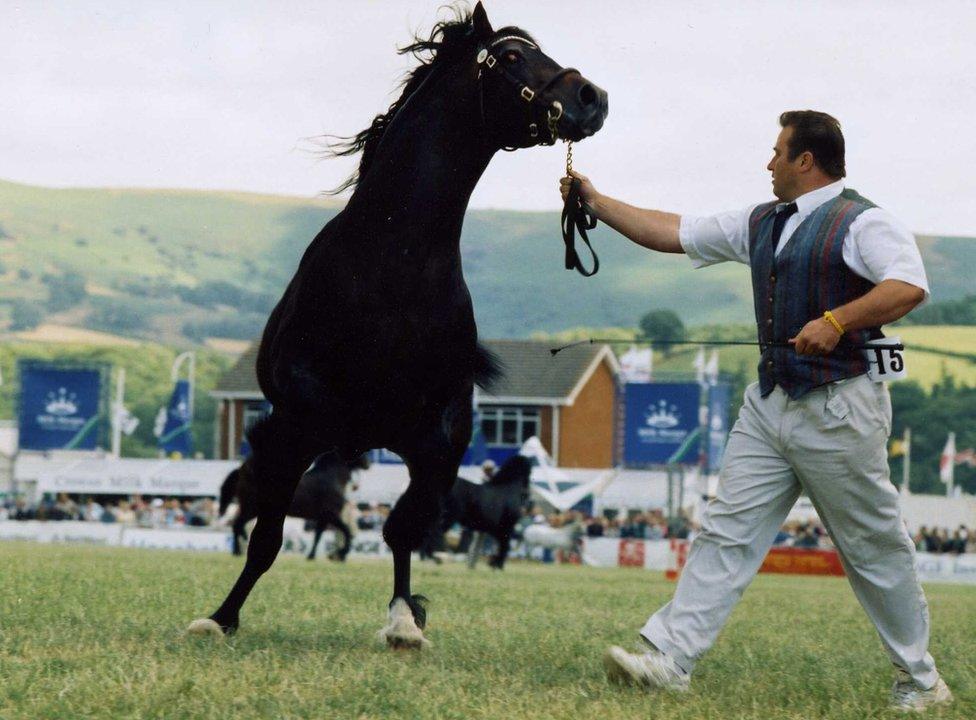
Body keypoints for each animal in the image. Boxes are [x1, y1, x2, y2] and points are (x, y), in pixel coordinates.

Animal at [220, 452, 370, 560]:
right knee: (237, 524)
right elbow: (346, 531)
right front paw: (342, 553)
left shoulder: (323, 518)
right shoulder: (331, 515)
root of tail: (241, 469)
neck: (331, 479)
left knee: (238, 525)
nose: (368, 464)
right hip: (251, 508)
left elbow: (318, 536)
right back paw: (238, 551)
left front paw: (311, 556)